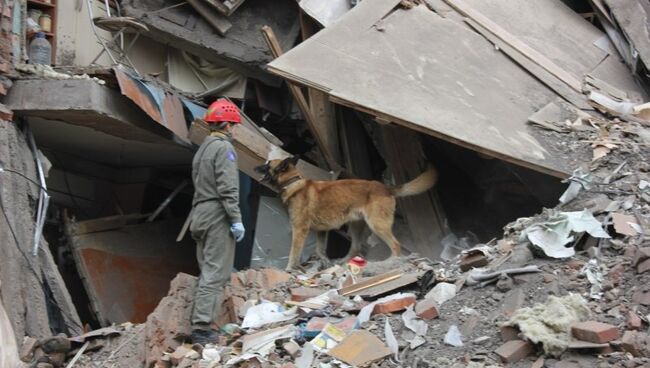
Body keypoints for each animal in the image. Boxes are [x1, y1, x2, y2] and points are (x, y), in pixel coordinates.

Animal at [254, 156, 436, 270]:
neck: (293, 183)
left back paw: (390, 263)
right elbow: (320, 250)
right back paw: (343, 262)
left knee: (395, 245)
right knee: (355, 247)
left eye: (267, 165)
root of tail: (386, 188)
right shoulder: (322, 231)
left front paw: (289, 269)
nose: (257, 166)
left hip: (377, 225)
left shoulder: (300, 230)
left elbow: (293, 253)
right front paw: (324, 263)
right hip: (355, 226)